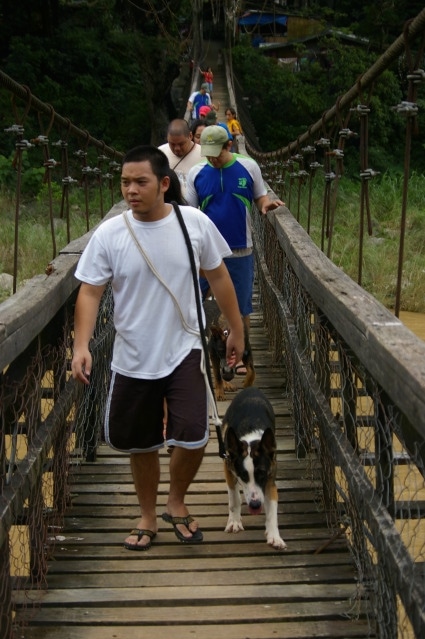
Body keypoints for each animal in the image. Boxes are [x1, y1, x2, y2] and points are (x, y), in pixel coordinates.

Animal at [222, 384, 284, 552]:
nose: (255, 505)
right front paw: (234, 521)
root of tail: (250, 388)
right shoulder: (228, 467)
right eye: (243, 475)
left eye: (261, 474)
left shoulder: (270, 479)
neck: (250, 440)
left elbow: (272, 511)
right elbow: (234, 498)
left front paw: (274, 536)